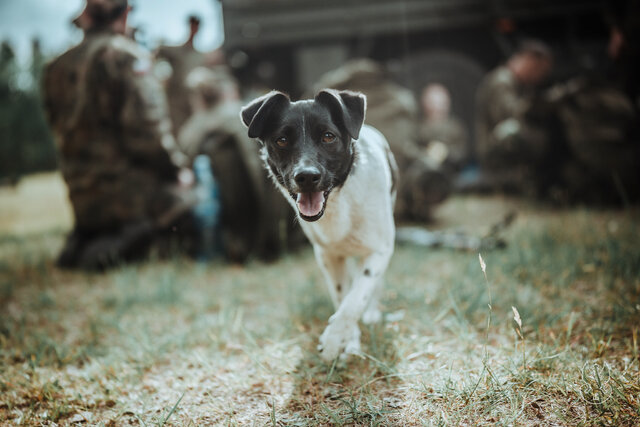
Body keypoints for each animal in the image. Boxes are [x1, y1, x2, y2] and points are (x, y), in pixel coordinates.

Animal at [242, 90, 398, 362]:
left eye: (328, 136)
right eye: (282, 140)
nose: (306, 176)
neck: (339, 200)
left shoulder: (380, 249)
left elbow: (356, 298)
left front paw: (334, 340)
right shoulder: (328, 256)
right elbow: (343, 295)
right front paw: (348, 341)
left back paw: (371, 313)